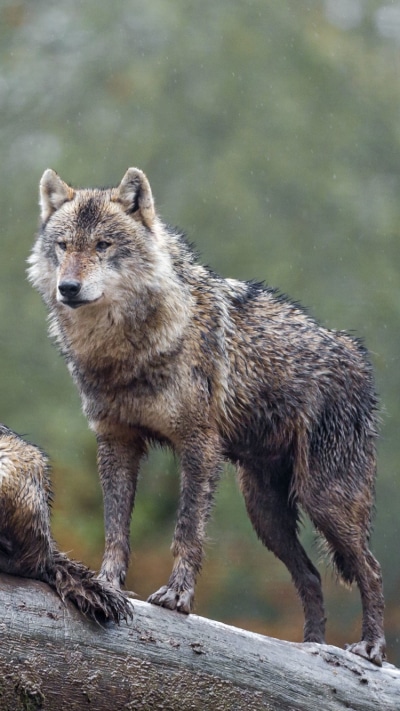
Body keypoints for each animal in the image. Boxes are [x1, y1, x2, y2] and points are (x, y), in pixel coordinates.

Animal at [28, 166, 385, 664]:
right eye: (63, 245)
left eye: (102, 245)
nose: (68, 288)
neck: (125, 351)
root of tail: (356, 355)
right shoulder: (116, 442)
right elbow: (115, 529)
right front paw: (107, 585)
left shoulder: (198, 444)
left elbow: (187, 530)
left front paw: (177, 597)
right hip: (266, 514)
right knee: (312, 576)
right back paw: (311, 649)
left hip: (324, 500)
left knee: (371, 569)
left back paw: (370, 647)